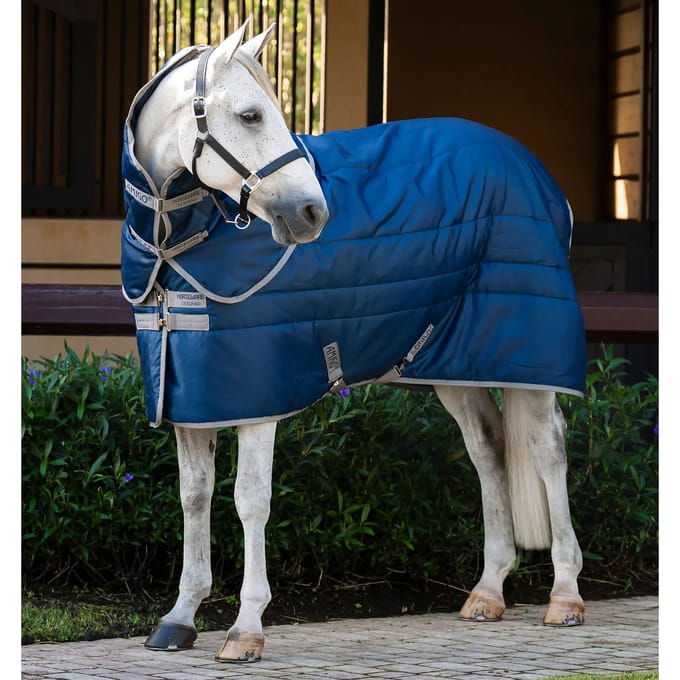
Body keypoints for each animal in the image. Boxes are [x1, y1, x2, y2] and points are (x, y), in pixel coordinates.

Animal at [121, 22, 586, 663]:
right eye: (249, 114)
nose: (312, 213)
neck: (179, 245)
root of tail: (536, 173)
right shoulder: (192, 396)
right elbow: (195, 496)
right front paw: (179, 617)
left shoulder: (258, 397)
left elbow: (249, 499)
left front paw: (246, 628)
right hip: (450, 363)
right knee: (488, 448)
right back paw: (487, 592)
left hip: (528, 358)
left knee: (547, 450)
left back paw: (565, 596)